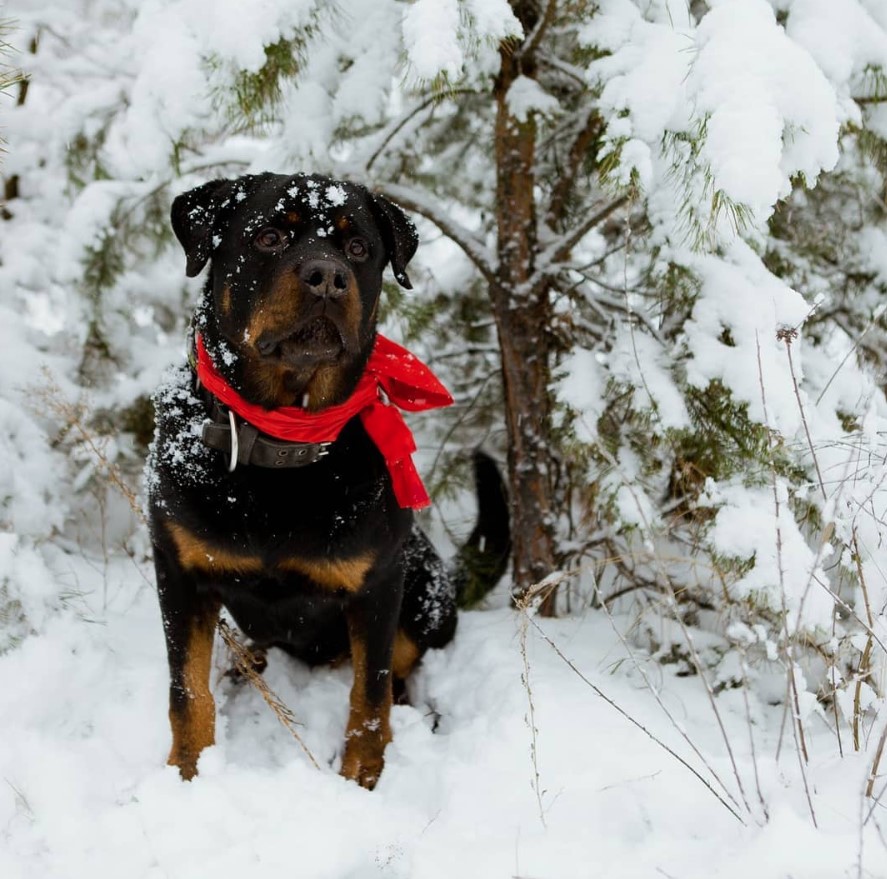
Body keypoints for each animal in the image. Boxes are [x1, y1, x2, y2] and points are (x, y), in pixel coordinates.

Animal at [148, 172, 510, 792]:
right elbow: (187, 691)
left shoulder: (377, 583)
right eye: (269, 236)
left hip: (422, 593)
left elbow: (369, 700)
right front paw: (187, 775)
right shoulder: (179, 570)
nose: (327, 277)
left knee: (400, 676)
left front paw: (362, 779)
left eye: (359, 248)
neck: (283, 445)